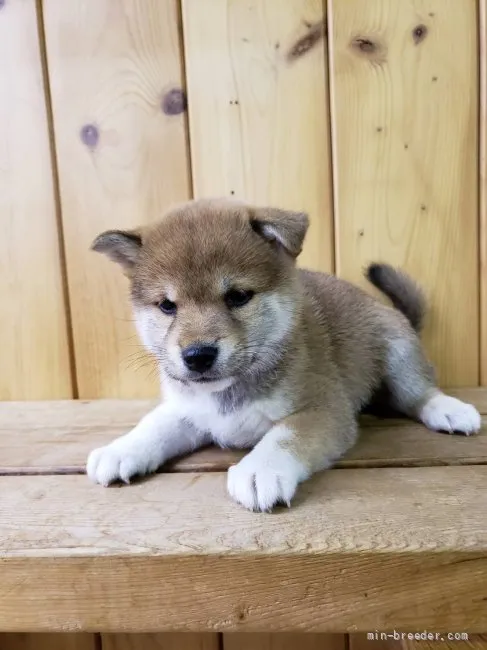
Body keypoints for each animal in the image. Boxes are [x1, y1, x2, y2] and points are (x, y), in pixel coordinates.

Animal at [86, 197, 480, 512]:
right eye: (167, 306)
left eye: (238, 296)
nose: (197, 355)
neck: (230, 393)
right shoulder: (190, 410)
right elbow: (156, 424)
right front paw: (121, 449)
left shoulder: (323, 409)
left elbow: (284, 436)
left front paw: (259, 469)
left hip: (399, 354)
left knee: (420, 393)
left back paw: (449, 410)